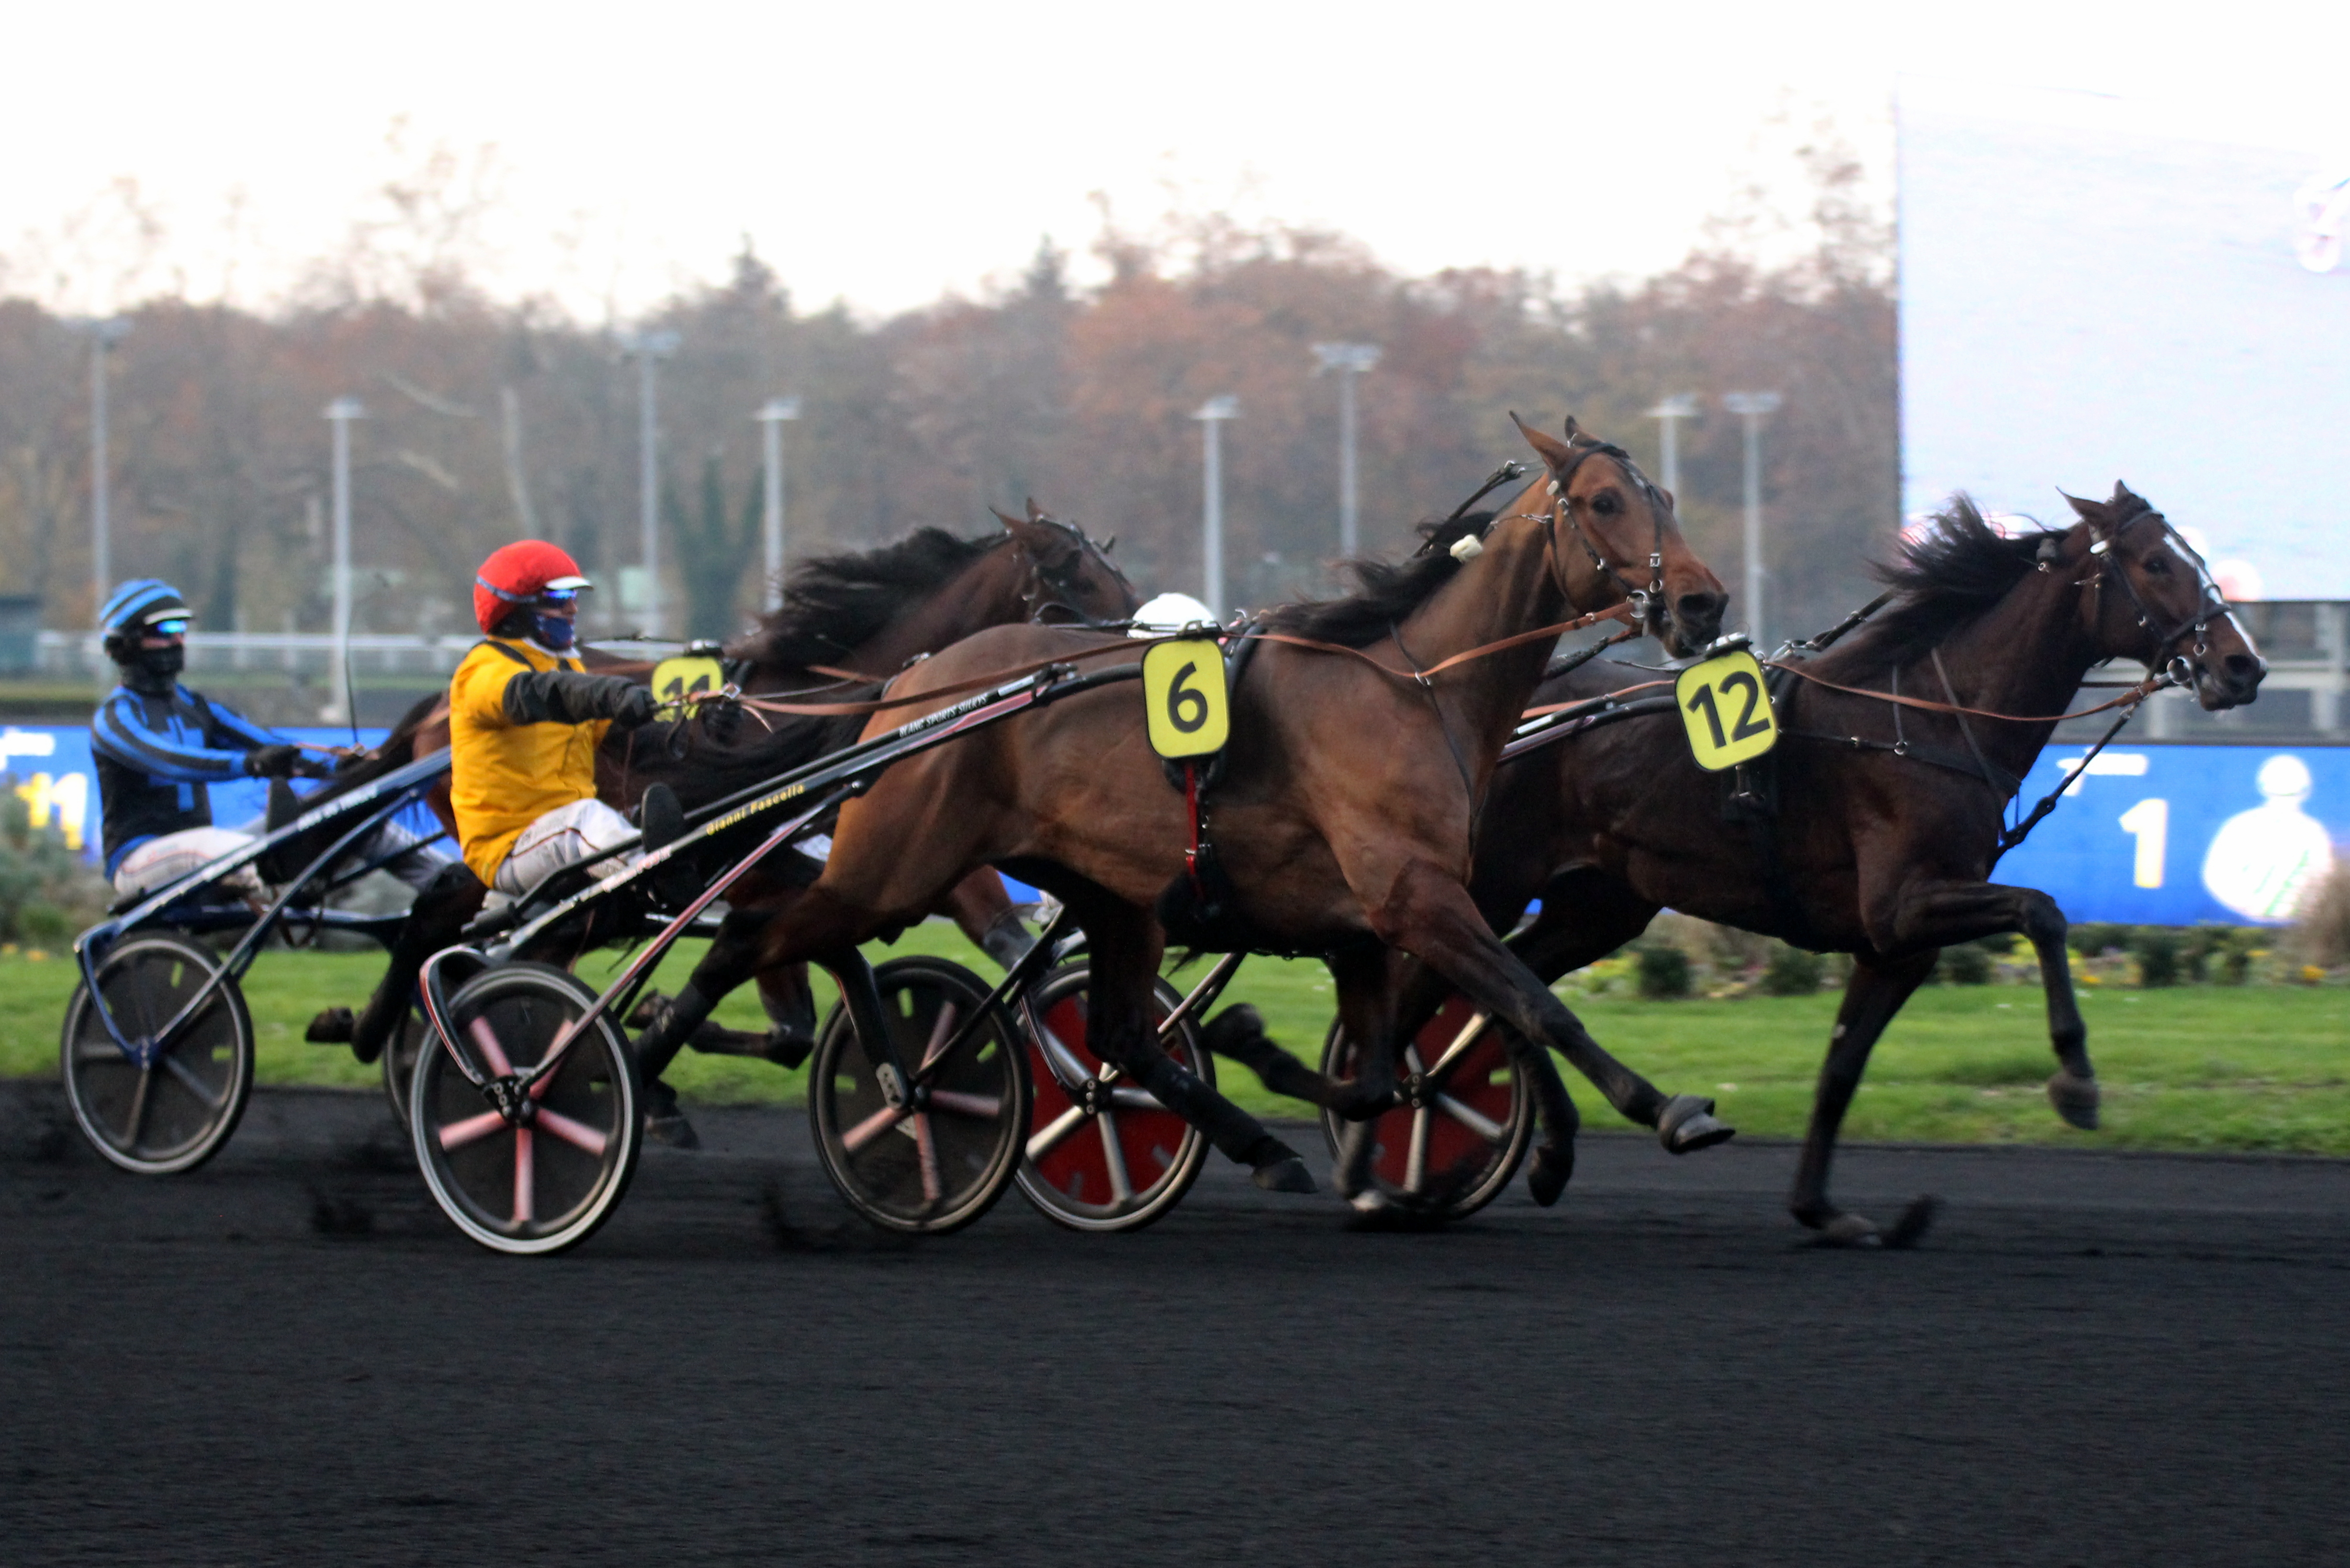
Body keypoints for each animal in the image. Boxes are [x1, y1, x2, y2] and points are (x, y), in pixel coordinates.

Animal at [634, 414, 1739, 1203]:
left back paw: (1241, 1141)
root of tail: (911, 683)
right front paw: (1664, 1109)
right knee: (748, 942)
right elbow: (1533, 1003)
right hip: (894, 865)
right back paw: (636, 1073)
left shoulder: (1369, 924)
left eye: (1665, 496)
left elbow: (1397, 1063)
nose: (1702, 603)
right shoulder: (1413, 897)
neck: (1412, 686)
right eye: (1603, 500)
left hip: (1109, 894)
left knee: (1118, 1031)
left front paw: (1285, 1076)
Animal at [1344, 484, 2256, 1241]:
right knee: (1447, 984)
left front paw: (1823, 1209)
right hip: (1485, 883)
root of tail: (1476, 708)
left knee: (1511, 986)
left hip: (1598, 904)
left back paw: (1535, 1149)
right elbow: (2042, 910)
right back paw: (1377, 1151)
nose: (2241, 664)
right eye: (2155, 563)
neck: (1922, 718)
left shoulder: (1895, 944)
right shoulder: (1907, 902)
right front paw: (2075, 1083)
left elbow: (1841, 1066)